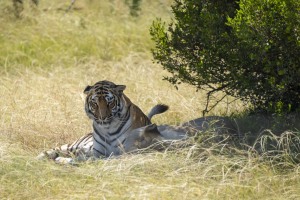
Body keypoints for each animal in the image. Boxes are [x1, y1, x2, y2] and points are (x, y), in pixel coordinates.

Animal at [37, 80, 169, 163]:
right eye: (94, 103)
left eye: (109, 102)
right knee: (53, 150)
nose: (102, 117)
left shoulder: (124, 152)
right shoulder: (98, 152)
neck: (108, 129)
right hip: (70, 146)